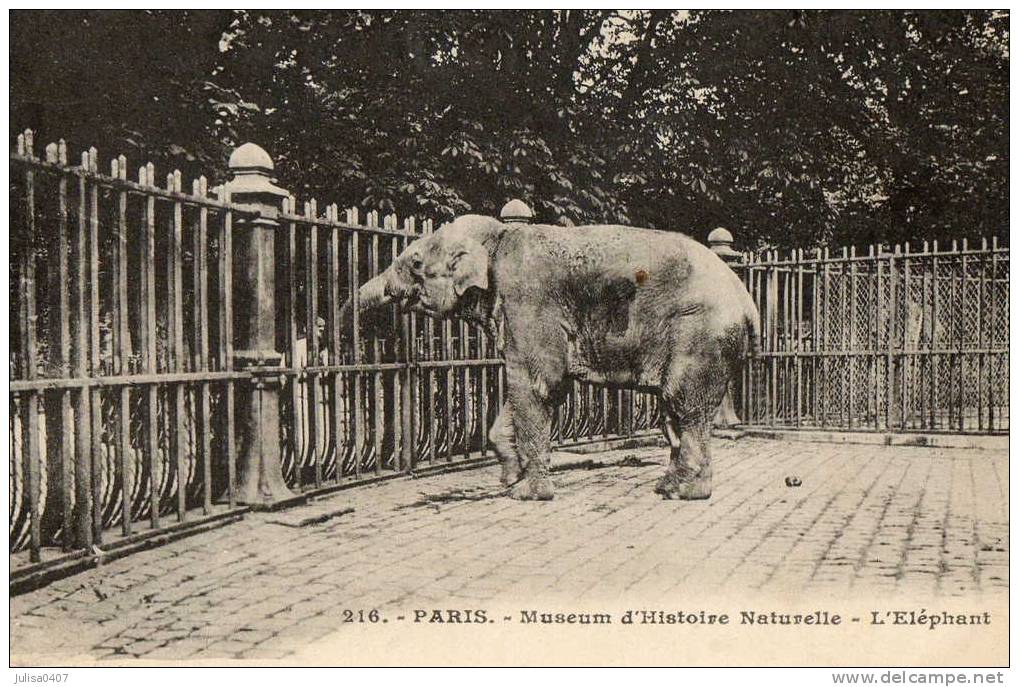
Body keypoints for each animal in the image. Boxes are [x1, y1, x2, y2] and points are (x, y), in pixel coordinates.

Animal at [340, 217, 758, 499]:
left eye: (414, 262)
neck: (497, 236)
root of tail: (745, 297)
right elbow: (530, 387)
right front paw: (510, 479)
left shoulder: (528, 301)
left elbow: (539, 382)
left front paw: (527, 494)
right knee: (674, 411)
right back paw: (667, 487)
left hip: (699, 333)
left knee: (683, 403)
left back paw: (684, 493)